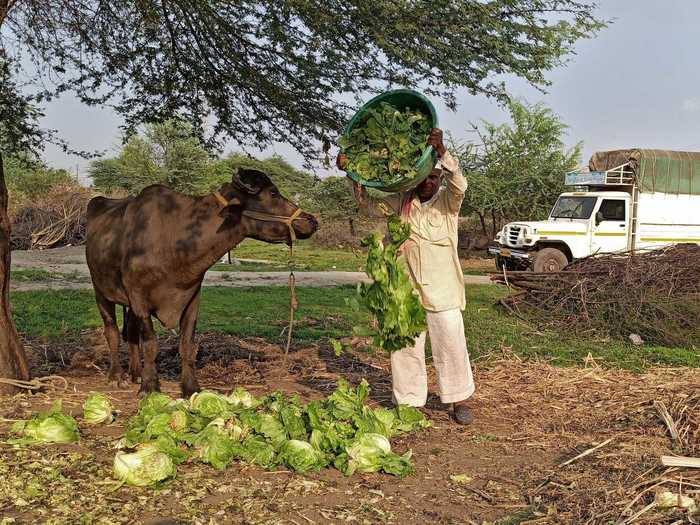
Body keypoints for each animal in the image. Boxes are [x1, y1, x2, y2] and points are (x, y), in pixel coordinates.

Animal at [85, 170, 320, 396]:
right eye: (273, 193)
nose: (312, 220)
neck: (175, 241)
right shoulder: (139, 299)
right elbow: (151, 343)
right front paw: (150, 386)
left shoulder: (191, 298)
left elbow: (187, 345)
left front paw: (190, 387)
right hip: (100, 291)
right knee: (112, 332)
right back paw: (116, 375)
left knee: (132, 334)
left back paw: (135, 373)